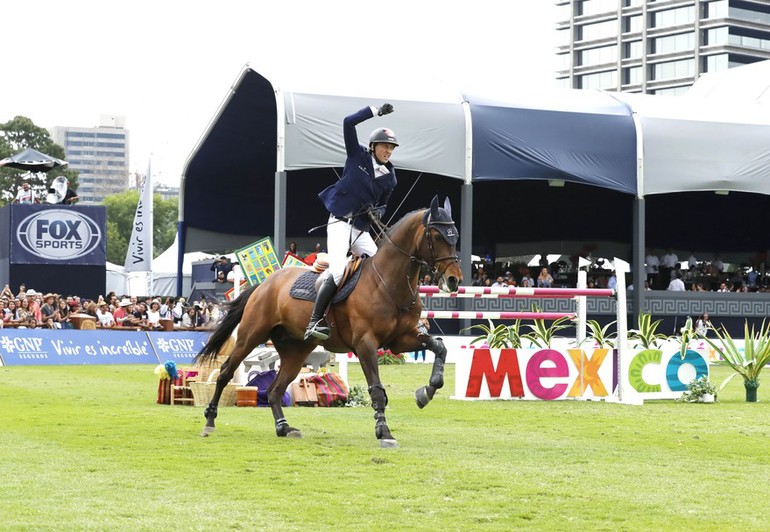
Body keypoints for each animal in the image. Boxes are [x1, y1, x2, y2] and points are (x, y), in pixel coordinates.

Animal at [198, 195, 462, 444]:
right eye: (437, 236)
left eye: (456, 236)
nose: (454, 280)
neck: (389, 283)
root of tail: (265, 283)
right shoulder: (365, 344)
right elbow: (377, 390)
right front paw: (384, 431)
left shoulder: (400, 340)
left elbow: (440, 347)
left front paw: (426, 391)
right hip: (251, 336)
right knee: (225, 372)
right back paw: (210, 421)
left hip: (296, 349)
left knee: (275, 390)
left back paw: (284, 427)